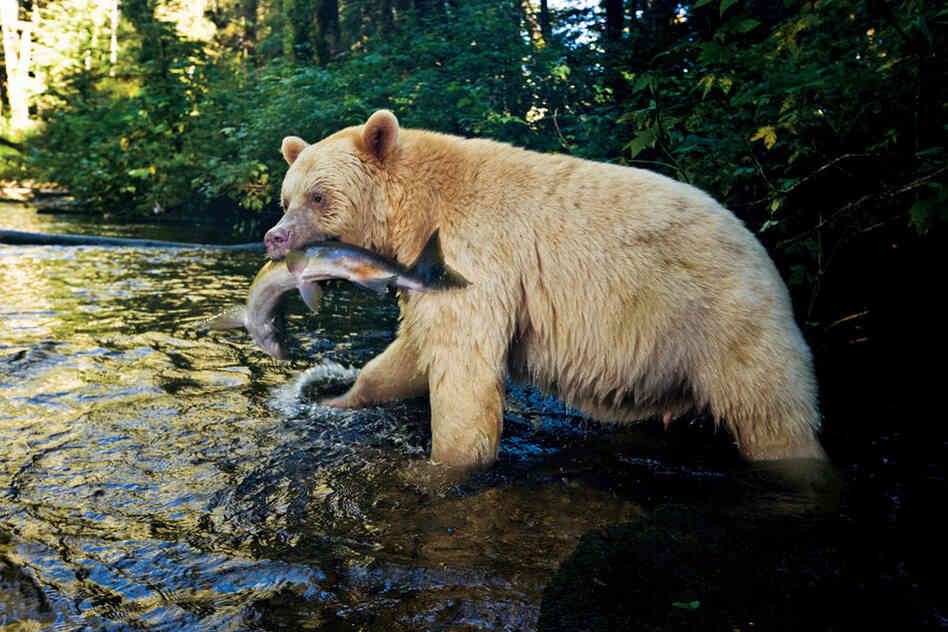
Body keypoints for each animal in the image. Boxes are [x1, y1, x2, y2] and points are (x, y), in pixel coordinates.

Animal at [264, 110, 826, 468]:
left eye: (319, 196)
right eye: (285, 197)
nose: (274, 236)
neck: (416, 213)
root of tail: (760, 249)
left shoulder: (475, 256)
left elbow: (465, 368)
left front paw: (446, 464)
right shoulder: (427, 282)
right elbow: (410, 354)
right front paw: (336, 398)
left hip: (722, 320)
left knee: (771, 414)